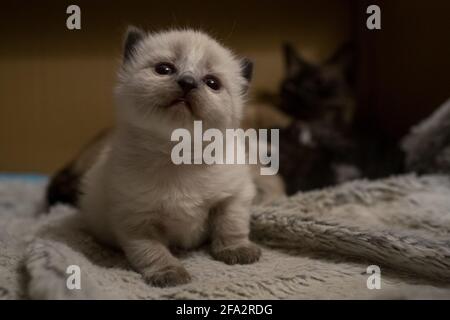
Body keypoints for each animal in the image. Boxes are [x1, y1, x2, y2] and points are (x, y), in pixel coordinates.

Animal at [80, 28, 262, 288]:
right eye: (164, 69)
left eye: (212, 83)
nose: (187, 82)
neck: (179, 155)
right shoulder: (137, 220)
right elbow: (152, 252)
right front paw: (169, 274)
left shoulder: (233, 197)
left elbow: (231, 227)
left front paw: (236, 252)